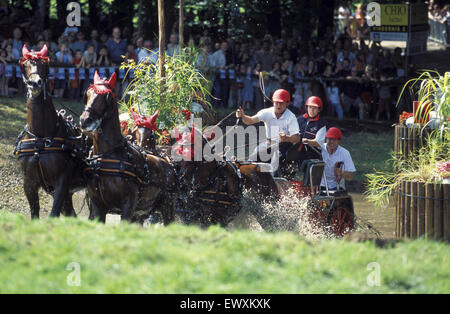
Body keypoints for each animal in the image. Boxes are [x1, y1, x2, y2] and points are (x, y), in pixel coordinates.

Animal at [15, 44, 87, 218]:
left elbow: (53, 213)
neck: (41, 138)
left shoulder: (62, 182)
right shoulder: (29, 183)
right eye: (25, 65)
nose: (35, 83)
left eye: (44, 65)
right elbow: (35, 213)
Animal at [80, 71, 175, 223]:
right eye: (87, 94)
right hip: (142, 211)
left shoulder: (128, 206)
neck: (106, 155)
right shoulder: (98, 205)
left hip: (167, 205)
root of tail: (167, 162)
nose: (85, 120)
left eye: (106, 97)